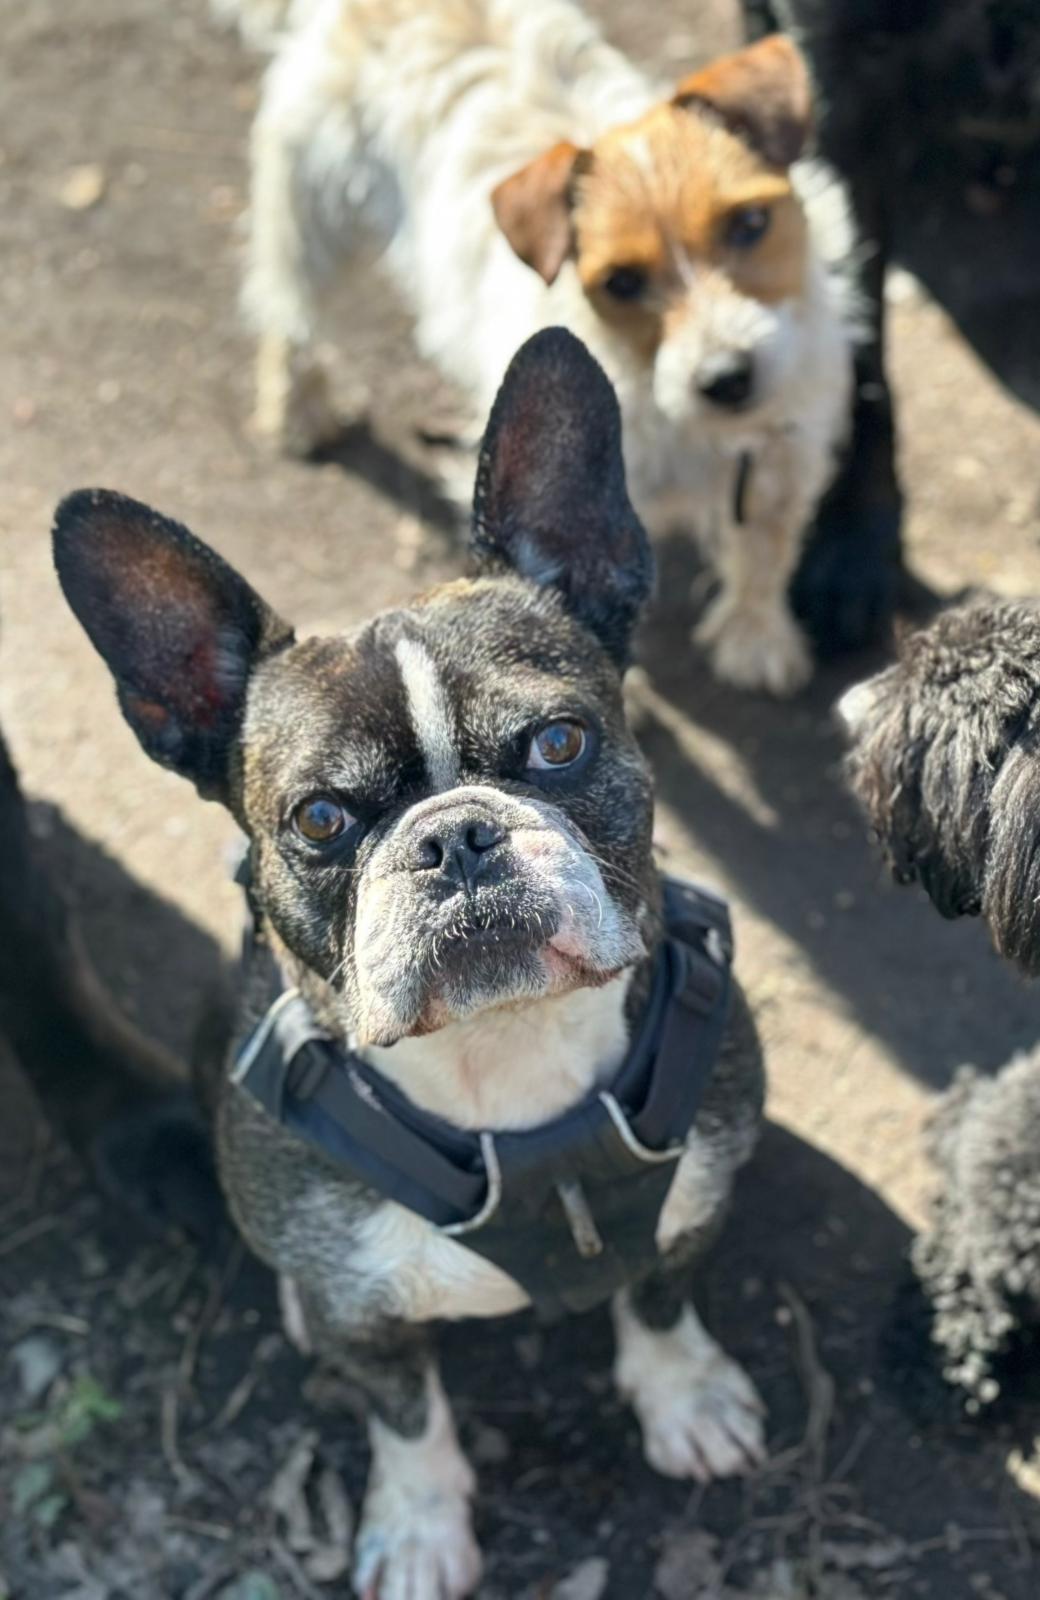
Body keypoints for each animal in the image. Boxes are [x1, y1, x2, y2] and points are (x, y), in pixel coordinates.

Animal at [54, 329, 767, 1598]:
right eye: (321, 818)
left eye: (559, 742)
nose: (455, 836)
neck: (506, 1063)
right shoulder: (368, 1325)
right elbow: (404, 1410)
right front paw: (420, 1526)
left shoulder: (695, 1196)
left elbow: (658, 1294)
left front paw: (684, 1397)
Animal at [234, 0, 856, 696]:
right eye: (622, 282)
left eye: (749, 224)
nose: (726, 379)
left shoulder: (786, 451)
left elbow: (766, 547)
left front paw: (757, 633)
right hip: (313, 216)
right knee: (290, 311)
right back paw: (299, 409)